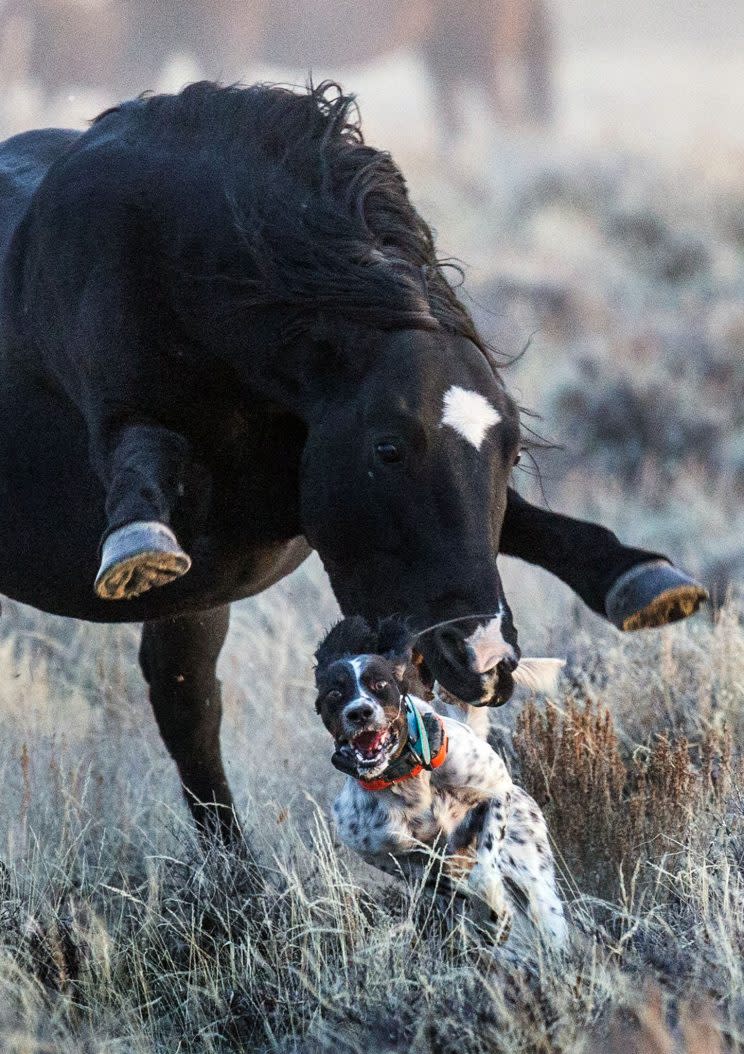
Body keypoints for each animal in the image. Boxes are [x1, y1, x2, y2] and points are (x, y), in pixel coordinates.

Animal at [0, 82, 703, 838]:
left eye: (512, 450)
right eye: (387, 447)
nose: (485, 658)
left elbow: (533, 524)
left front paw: (645, 580)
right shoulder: (125, 419)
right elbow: (140, 455)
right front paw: (140, 544)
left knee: (188, 711)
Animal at [311, 615, 560, 952]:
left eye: (380, 685)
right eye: (335, 694)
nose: (360, 712)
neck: (408, 781)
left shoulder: (497, 788)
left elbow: (483, 869)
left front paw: (492, 907)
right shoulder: (392, 858)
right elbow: (451, 884)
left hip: (538, 890)